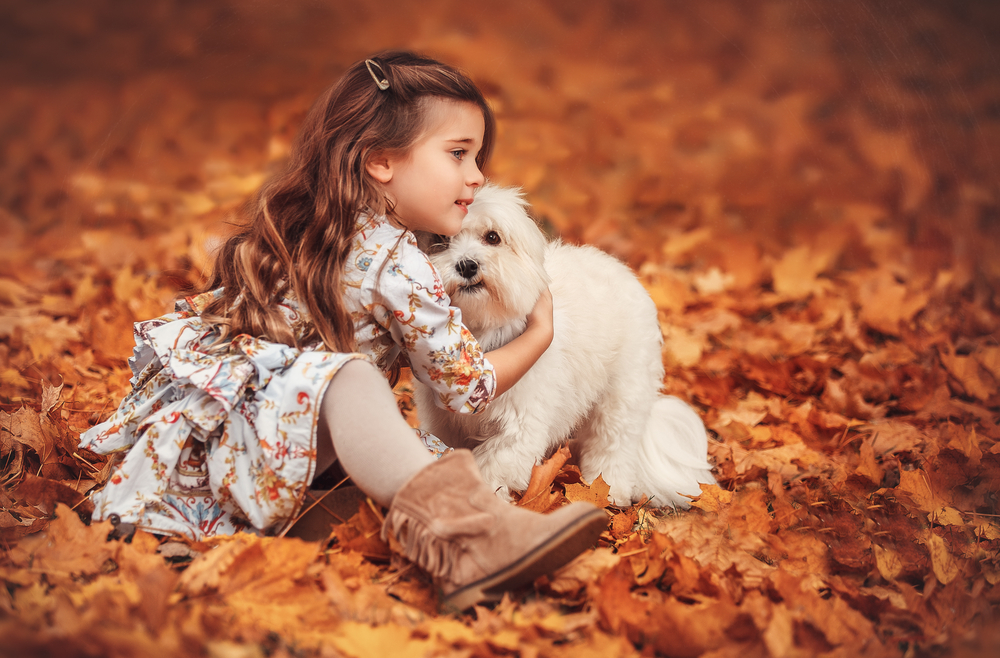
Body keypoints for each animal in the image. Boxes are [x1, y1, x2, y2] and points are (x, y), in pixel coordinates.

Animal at [416, 182, 720, 504]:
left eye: (492, 237)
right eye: (440, 240)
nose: (466, 265)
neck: (482, 329)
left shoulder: (518, 429)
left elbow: (490, 471)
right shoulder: (444, 424)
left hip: (621, 398)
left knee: (613, 446)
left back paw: (608, 492)